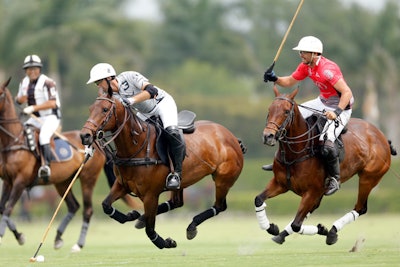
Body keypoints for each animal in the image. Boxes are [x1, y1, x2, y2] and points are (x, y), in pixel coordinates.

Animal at [0, 78, 136, 253]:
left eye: (0, 94)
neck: (13, 141)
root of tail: (97, 145)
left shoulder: (20, 181)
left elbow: (8, 208)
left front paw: (12, 236)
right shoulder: (8, 181)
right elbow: (2, 208)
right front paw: (14, 235)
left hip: (87, 178)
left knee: (87, 209)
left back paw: (78, 244)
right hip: (63, 182)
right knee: (73, 206)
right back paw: (58, 237)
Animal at [79, 91, 245, 249]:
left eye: (105, 109)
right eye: (90, 109)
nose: (85, 136)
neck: (136, 147)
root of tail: (232, 137)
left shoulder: (150, 195)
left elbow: (150, 229)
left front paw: (166, 243)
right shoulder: (122, 185)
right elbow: (106, 205)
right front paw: (132, 215)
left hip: (223, 179)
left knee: (219, 206)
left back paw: (191, 227)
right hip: (182, 182)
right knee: (177, 202)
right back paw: (141, 219)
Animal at [255, 87, 396, 246]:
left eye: (286, 111)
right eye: (269, 109)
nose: (268, 136)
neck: (296, 153)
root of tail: (382, 137)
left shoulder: (312, 191)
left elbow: (296, 224)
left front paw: (323, 230)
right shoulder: (280, 184)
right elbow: (259, 199)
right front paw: (272, 228)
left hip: (369, 178)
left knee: (360, 208)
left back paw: (332, 231)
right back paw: (283, 235)